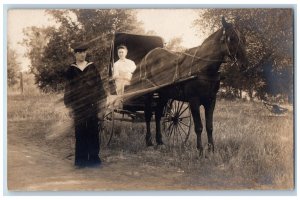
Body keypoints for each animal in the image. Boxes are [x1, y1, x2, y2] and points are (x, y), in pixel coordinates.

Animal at [130, 16, 247, 156]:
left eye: (242, 37)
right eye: (231, 38)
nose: (244, 64)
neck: (203, 68)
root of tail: (148, 56)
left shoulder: (211, 101)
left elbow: (209, 126)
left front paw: (211, 149)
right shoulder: (194, 100)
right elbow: (199, 127)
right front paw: (200, 150)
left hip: (164, 94)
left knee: (157, 114)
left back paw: (160, 141)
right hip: (149, 92)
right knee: (148, 114)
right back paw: (149, 141)